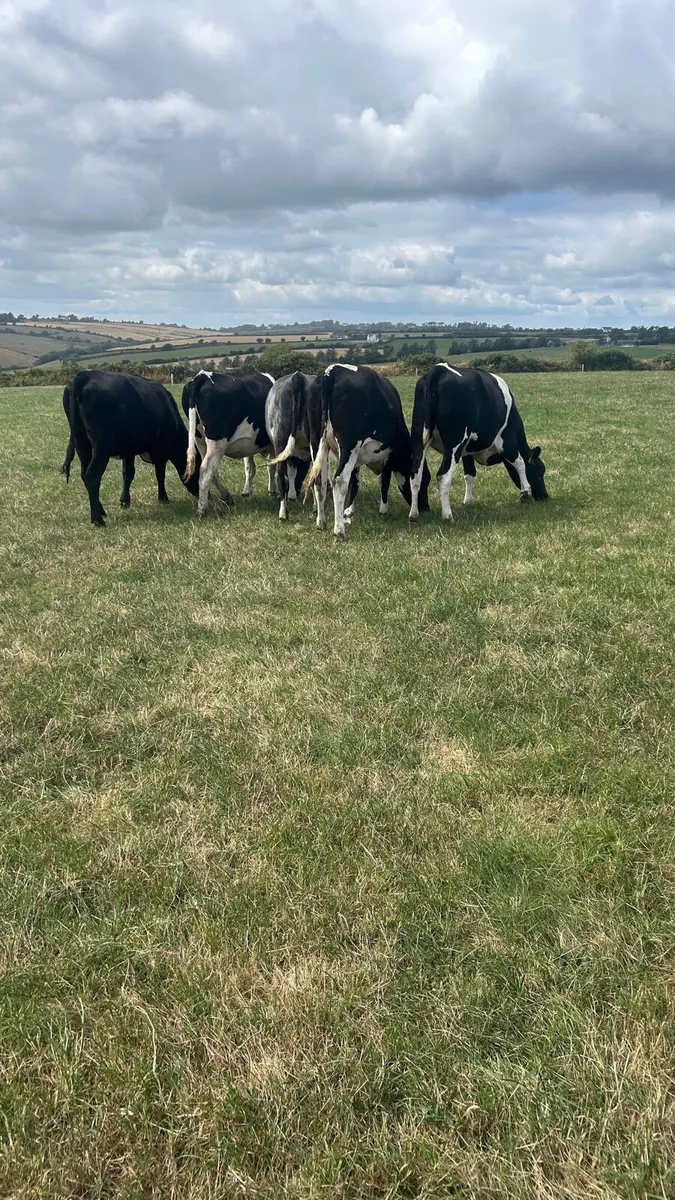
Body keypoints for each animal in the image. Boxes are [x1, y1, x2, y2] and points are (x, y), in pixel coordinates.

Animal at [62, 370, 199, 526]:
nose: (203, 494)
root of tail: (84, 375)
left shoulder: (129, 451)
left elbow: (128, 474)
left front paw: (125, 502)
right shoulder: (160, 450)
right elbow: (160, 474)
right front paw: (163, 498)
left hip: (81, 443)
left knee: (84, 474)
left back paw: (101, 511)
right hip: (101, 448)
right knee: (91, 476)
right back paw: (97, 519)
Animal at [182, 370, 274, 516]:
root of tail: (202, 376)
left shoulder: (249, 444)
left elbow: (251, 467)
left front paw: (248, 492)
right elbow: (272, 465)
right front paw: (274, 491)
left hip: (200, 440)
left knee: (212, 471)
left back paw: (226, 497)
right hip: (217, 442)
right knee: (206, 470)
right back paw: (202, 509)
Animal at [265, 371, 314, 520]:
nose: (298, 491)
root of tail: (298, 377)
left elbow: (290, 471)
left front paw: (291, 495)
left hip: (280, 439)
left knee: (280, 473)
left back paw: (283, 512)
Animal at [303, 363, 429, 537]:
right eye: (426, 481)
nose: (425, 507)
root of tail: (331, 372)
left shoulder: (356, 458)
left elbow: (355, 483)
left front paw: (348, 511)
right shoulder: (388, 455)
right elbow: (384, 482)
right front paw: (383, 509)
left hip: (316, 442)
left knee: (319, 481)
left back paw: (321, 523)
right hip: (348, 445)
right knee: (339, 482)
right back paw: (339, 530)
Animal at [409, 364, 548, 523]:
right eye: (540, 471)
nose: (545, 496)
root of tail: (439, 370)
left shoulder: (467, 451)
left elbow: (470, 474)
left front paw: (468, 500)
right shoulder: (507, 442)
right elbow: (520, 463)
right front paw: (526, 493)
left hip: (419, 439)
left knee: (415, 474)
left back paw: (414, 514)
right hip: (454, 444)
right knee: (443, 476)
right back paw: (447, 515)